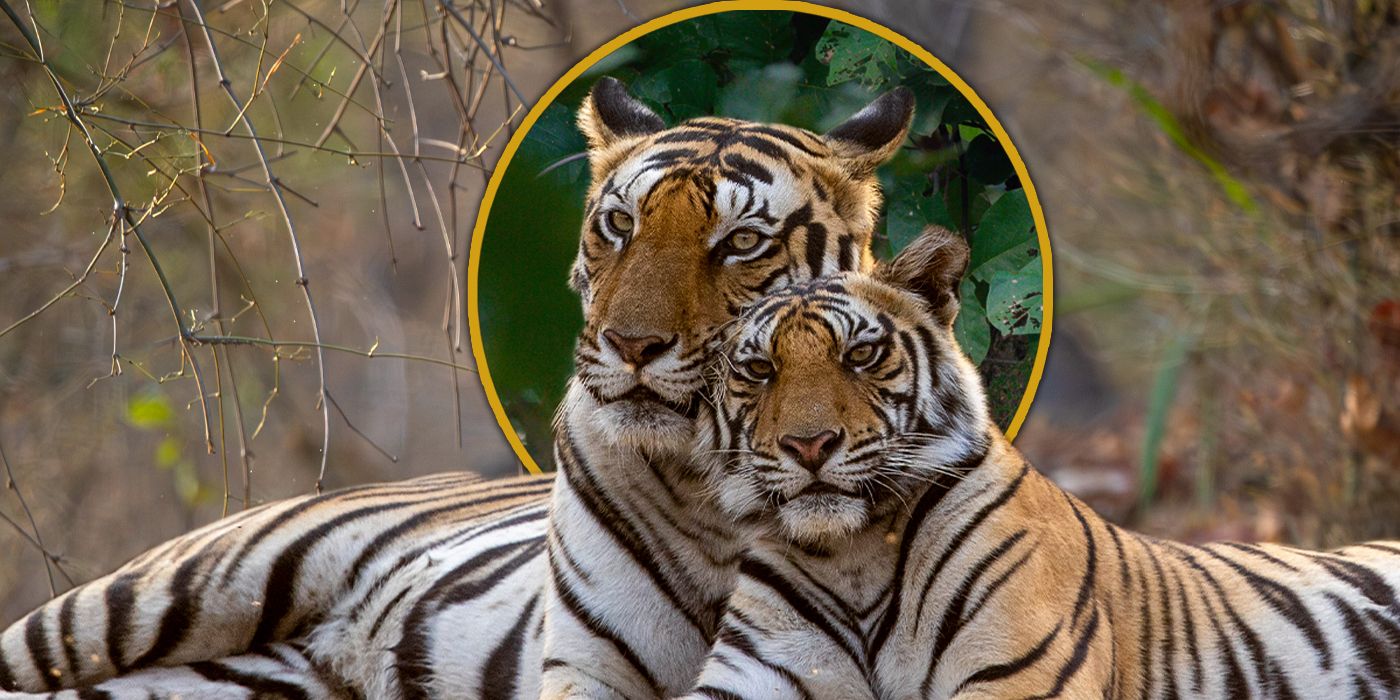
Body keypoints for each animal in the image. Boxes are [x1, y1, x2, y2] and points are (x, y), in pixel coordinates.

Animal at [0, 77, 916, 699]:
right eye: (620, 225)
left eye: (742, 242)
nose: (630, 345)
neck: (711, 486)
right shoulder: (595, 667)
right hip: (151, 595)